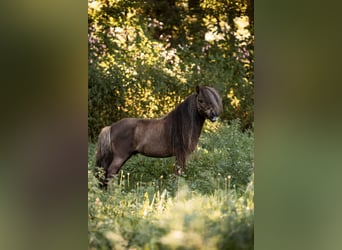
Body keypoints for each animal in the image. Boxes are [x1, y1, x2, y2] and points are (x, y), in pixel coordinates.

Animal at [94, 86, 222, 188]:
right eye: (201, 100)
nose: (214, 115)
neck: (180, 123)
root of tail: (111, 127)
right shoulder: (181, 154)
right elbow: (178, 173)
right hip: (120, 157)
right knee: (110, 173)